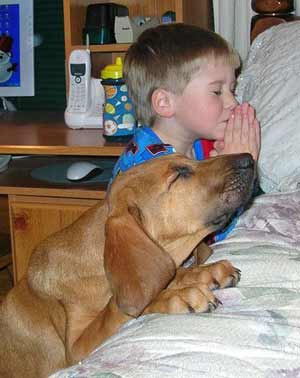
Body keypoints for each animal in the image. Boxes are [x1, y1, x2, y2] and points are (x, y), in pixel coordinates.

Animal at [0, 152, 255, 376]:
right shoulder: (75, 349)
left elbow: (169, 272)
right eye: (179, 174)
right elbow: (120, 307)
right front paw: (180, 295)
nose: (250, 158)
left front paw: (207, 272)